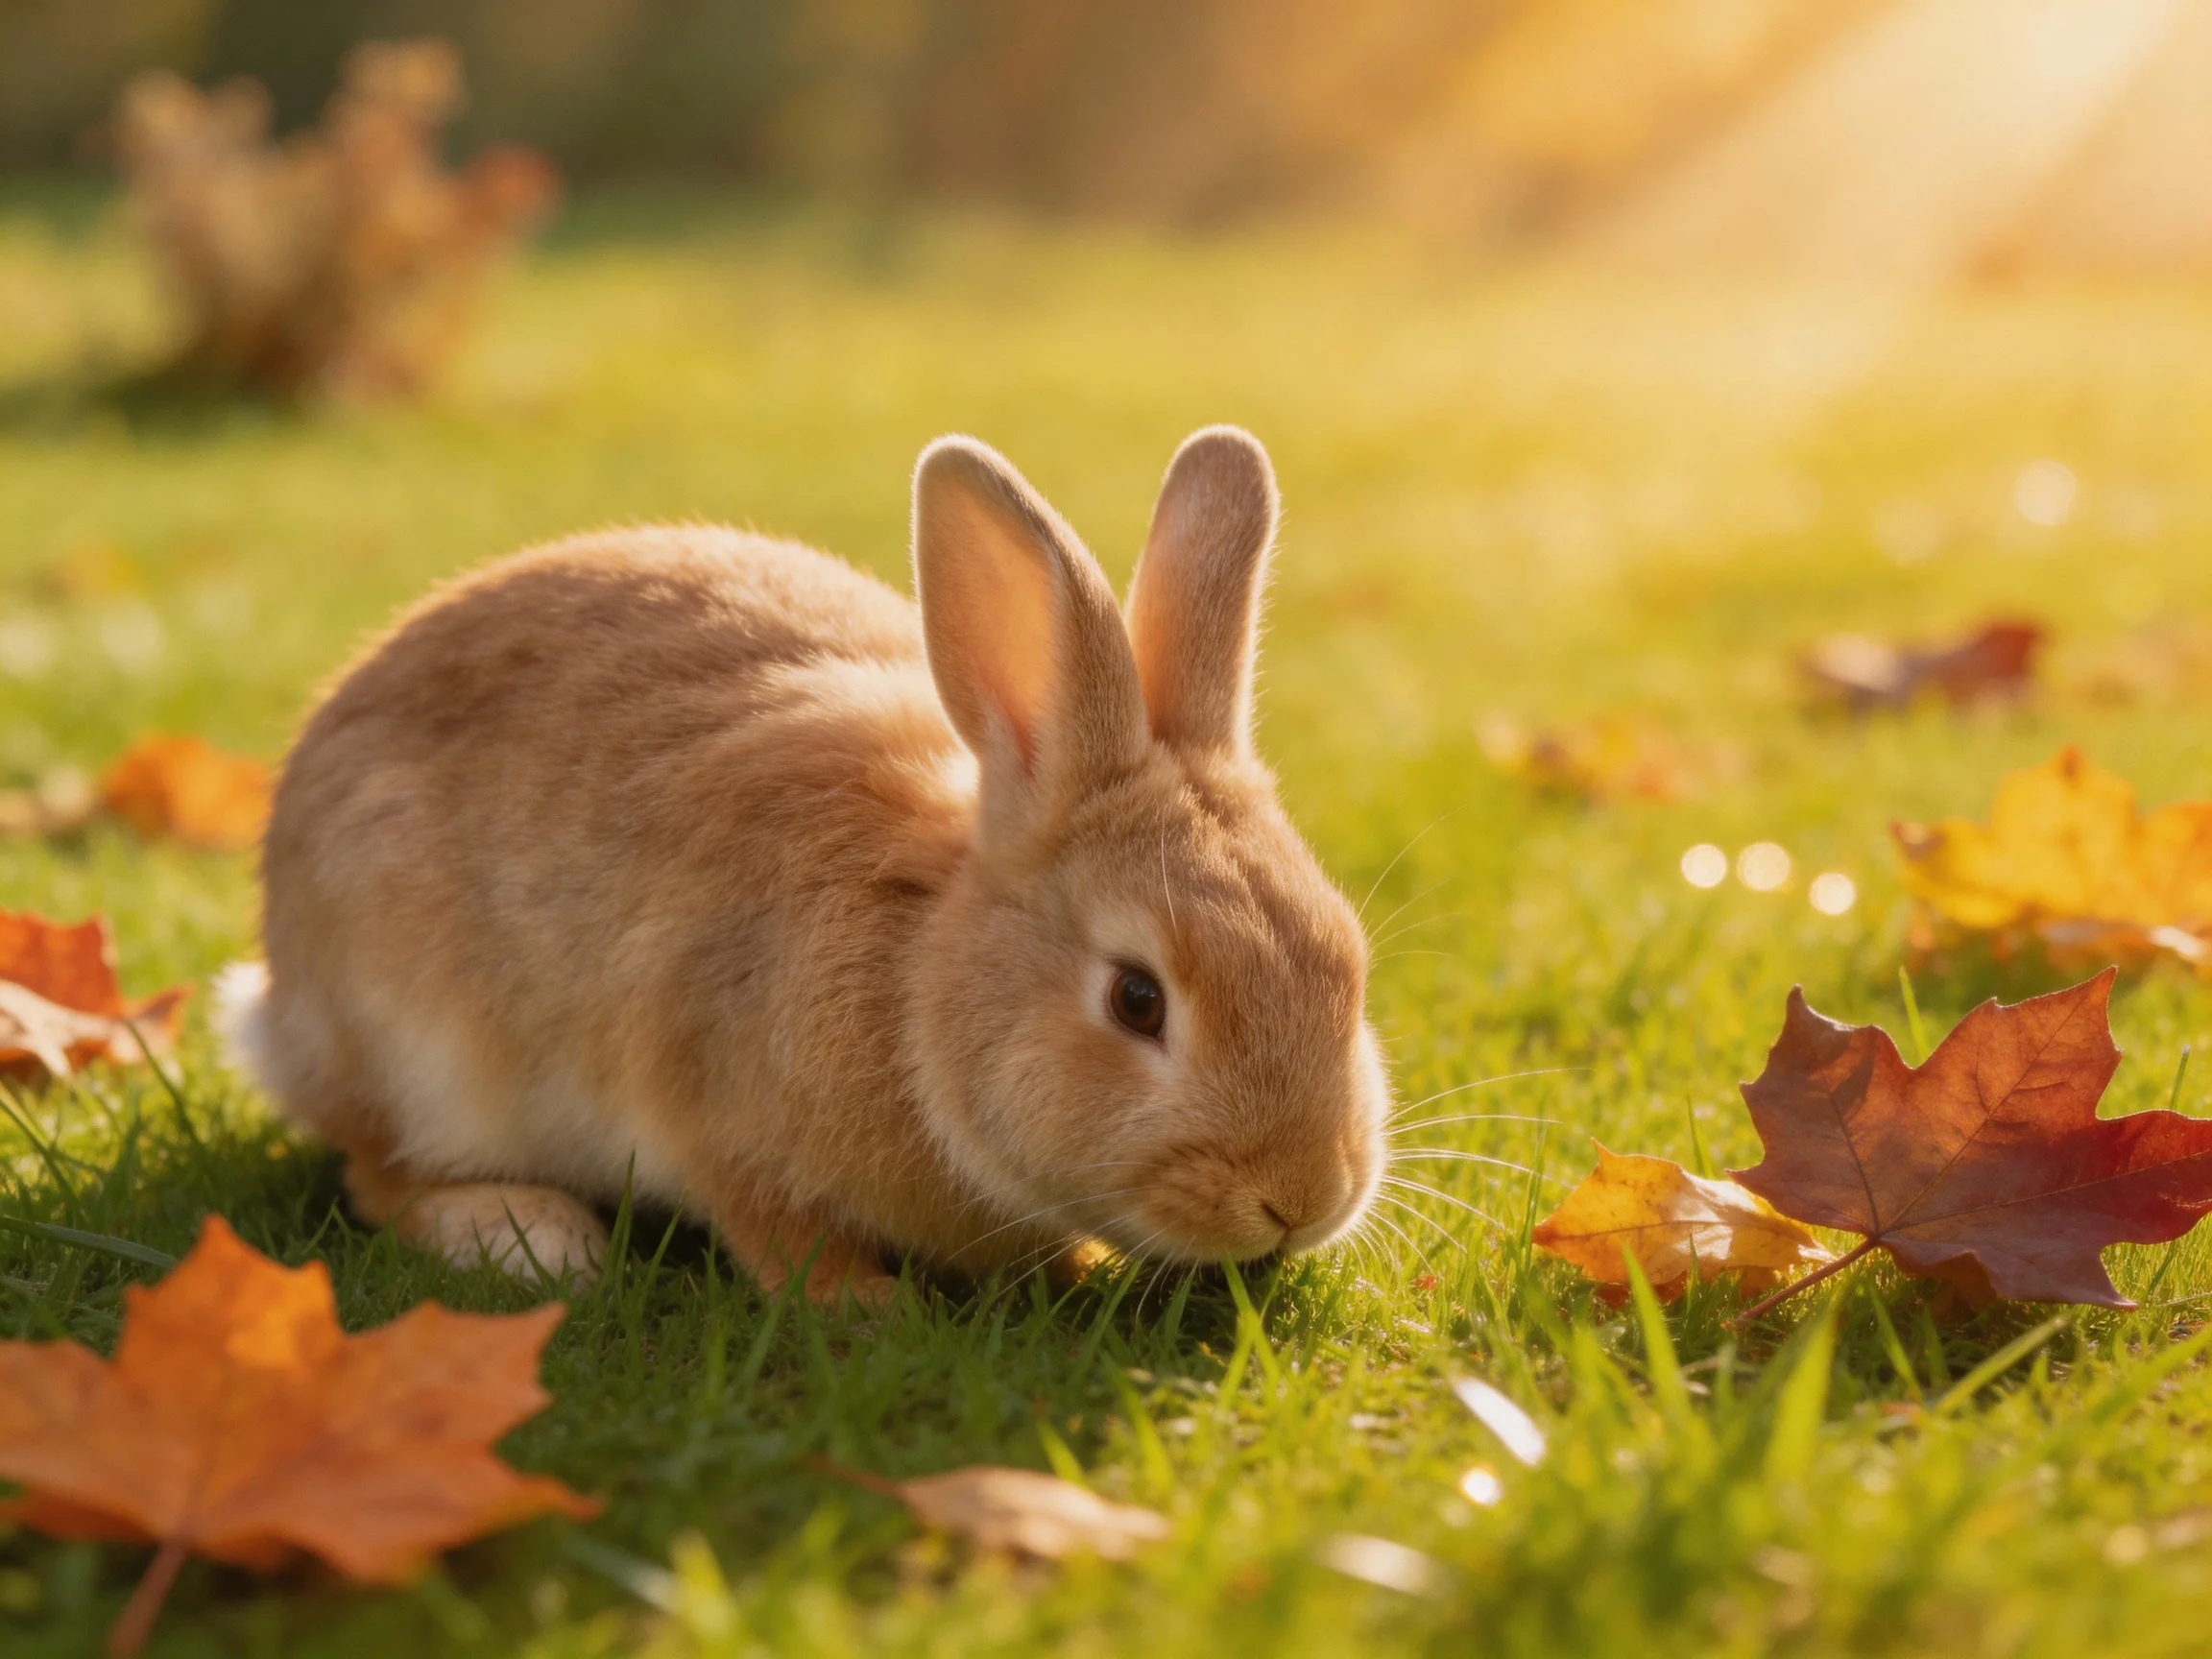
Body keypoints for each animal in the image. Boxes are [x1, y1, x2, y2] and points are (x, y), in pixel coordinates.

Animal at [220, 426, 1389, 1304]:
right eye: (1138, 1000)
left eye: (1349, 960)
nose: (1300, 1201)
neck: (916, 975)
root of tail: (278, 1010)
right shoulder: (701, 1096)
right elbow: (776, 1231)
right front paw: (869, 1306)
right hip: (415, 1047)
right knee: (378, 1175)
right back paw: (531, 1237)